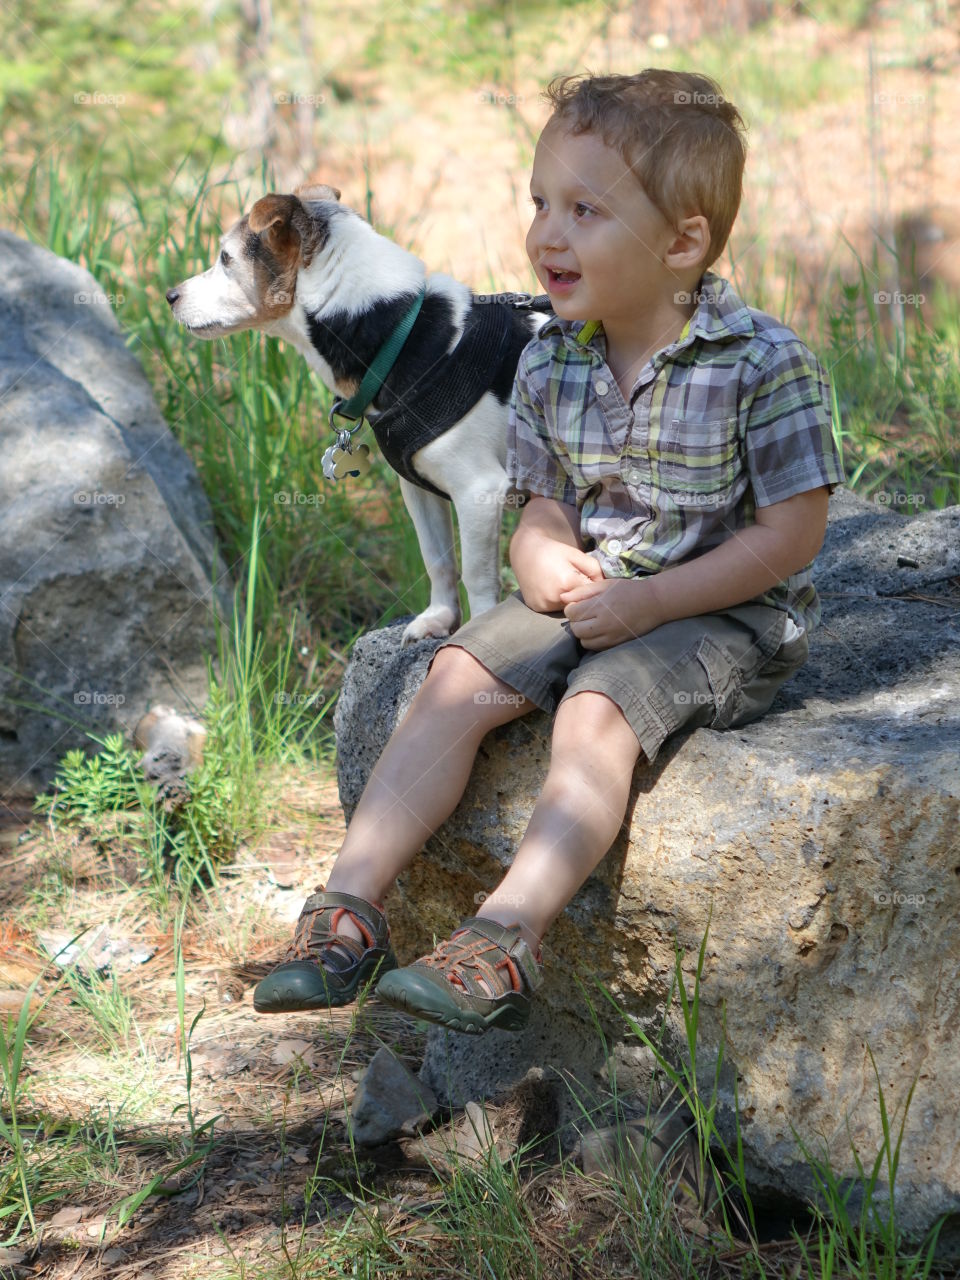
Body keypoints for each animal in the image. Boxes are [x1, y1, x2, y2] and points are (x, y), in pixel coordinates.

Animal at [168, 185, 552, 645]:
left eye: (226, 258)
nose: (169, 296)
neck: (403, 333)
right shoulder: (419, 491)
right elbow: (438, 560)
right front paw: (438, 619)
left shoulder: (478, 492)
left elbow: (478, 579)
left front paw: (473, 630)